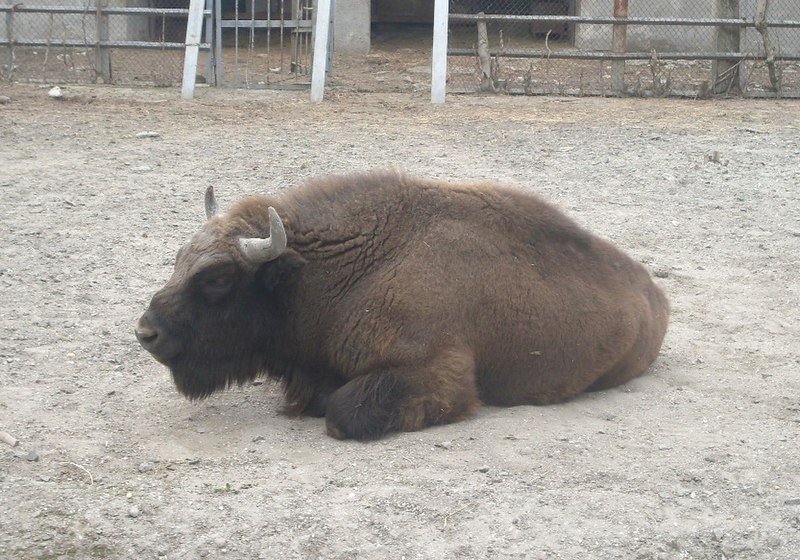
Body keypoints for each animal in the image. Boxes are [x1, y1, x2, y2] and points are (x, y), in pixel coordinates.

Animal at [138, 171, 668, 438]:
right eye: (179, 259)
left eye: (218, 279)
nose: (147, 332)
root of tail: (653, 292)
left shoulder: (437, 373)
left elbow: (343, 412)